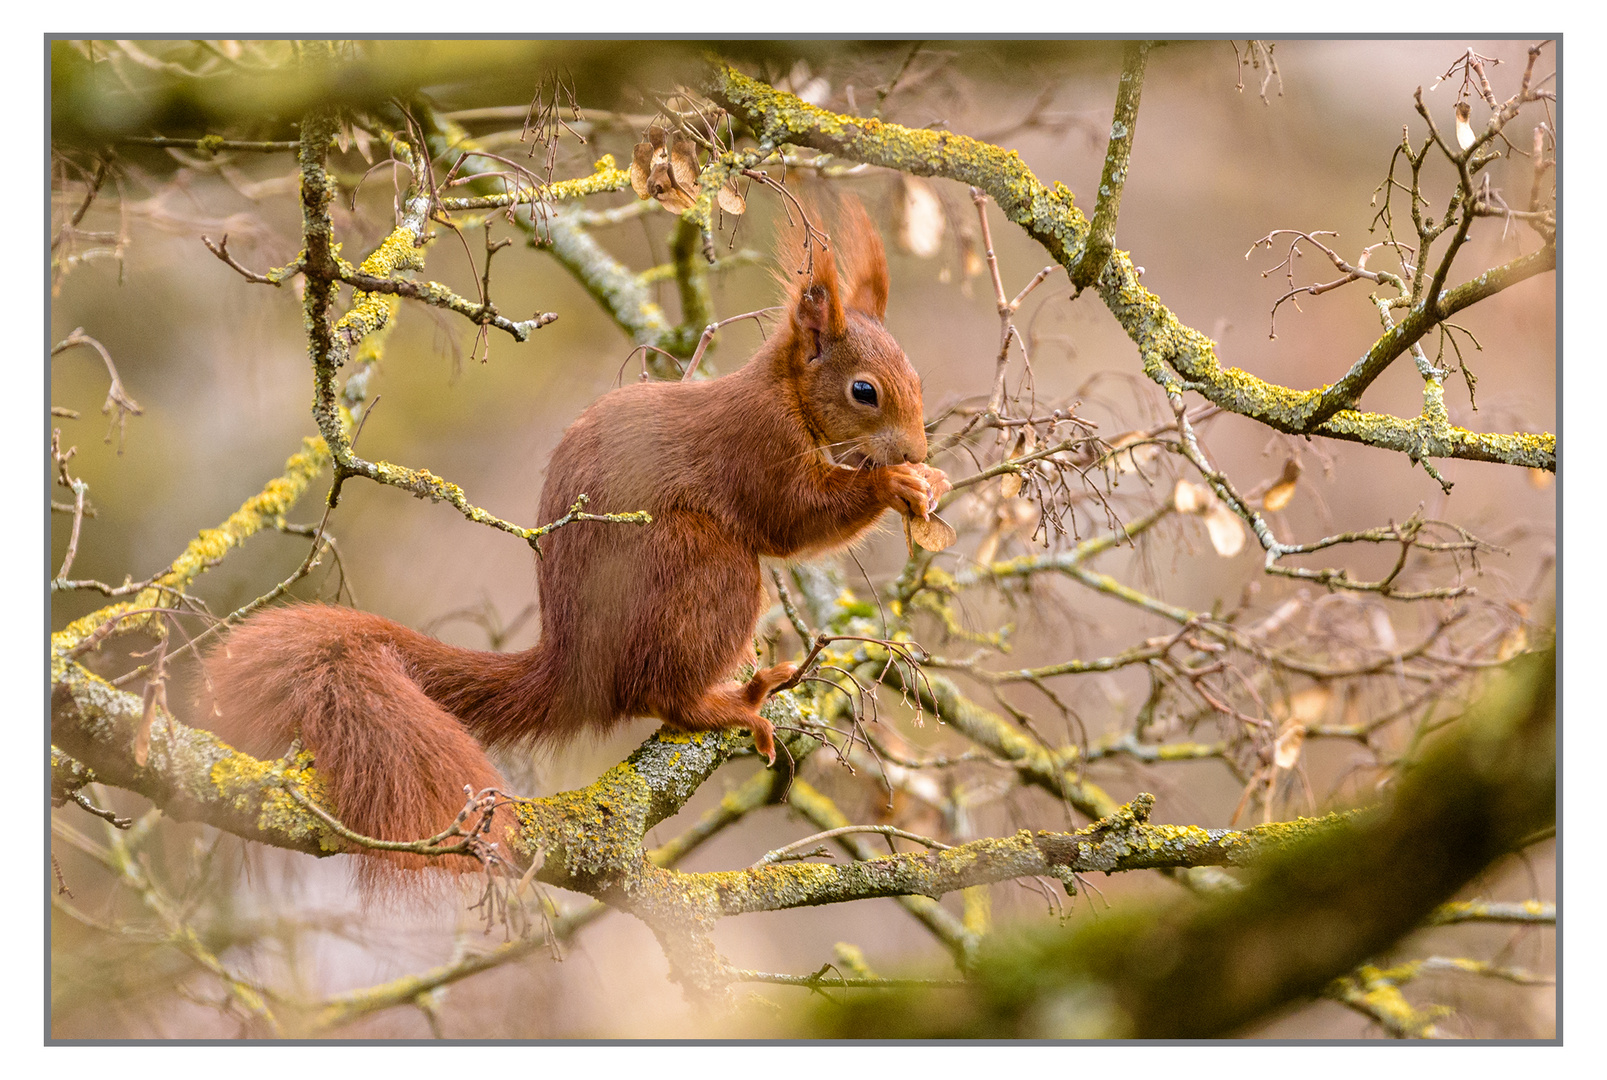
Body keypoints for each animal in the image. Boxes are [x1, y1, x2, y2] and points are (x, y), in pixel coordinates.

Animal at [205, 198, 944, 874]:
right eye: (864, 392)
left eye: (917, 377)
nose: (914, 447)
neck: (787, 394)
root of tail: (576, 665)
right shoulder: (757, 447)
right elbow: (792, 519)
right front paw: (894, 485)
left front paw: (924, 479)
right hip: (706, 568)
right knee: (662, 693)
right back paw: (730, 703)